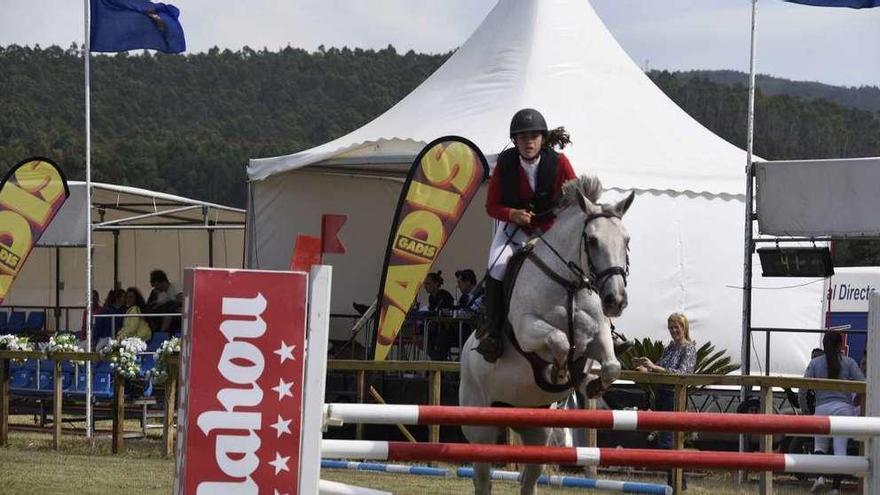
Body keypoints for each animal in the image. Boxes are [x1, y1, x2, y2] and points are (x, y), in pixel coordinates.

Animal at [460, 177, 632, 495]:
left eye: (626, 241)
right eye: (592, 241)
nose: (615, 300)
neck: (569, 284)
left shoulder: (598, 336)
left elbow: (611, 365)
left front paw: (590, 385)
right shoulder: (528, 330)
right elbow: (559, 341)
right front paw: (559, 372)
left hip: (538, 430)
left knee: (530, 478)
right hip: (481, 426)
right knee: (483, 477)